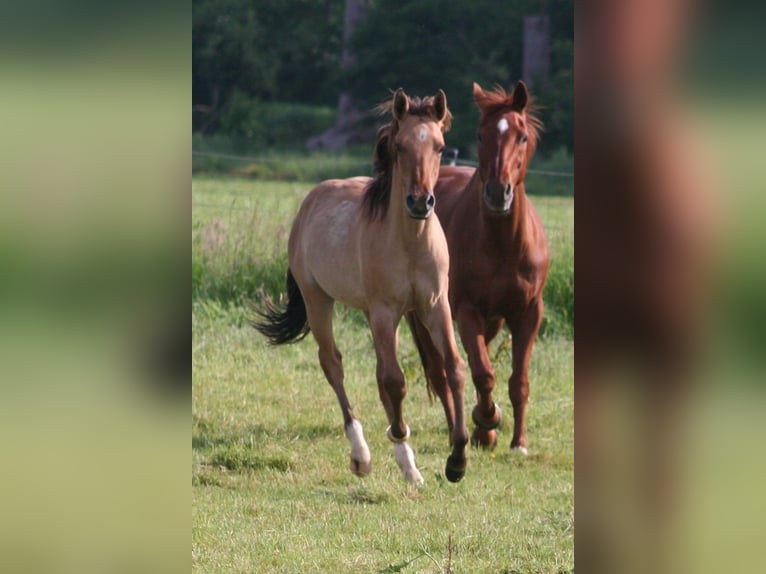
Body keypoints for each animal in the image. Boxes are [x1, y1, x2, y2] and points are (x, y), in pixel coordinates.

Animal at [255, 89, 468, 486]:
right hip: (319, 301)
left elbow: (453, 368)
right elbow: (396, 381)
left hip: (374, 315)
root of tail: (310, 201)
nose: (420, 202)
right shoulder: (385, 310)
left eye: (441, 146)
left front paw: (457, 460)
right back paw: (362, 455)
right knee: (333, 364)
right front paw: (401, 442)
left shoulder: (434, 306)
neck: (410, 243)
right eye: (400, 146)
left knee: (378, 374)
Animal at [408, 81, 552, 456]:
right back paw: (458, 429)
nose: (498, 193)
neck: (503, 244)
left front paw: (518, 442)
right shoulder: (467, 310)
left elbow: (518, 380)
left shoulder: (528, 312)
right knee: (442, 372)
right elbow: (483, 372)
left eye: (522, 137)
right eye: (480, 134)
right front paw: (487, 422)